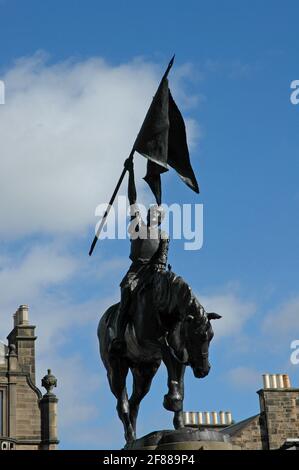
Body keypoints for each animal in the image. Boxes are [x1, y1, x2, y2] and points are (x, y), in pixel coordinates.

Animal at [98, 270, 220, 446]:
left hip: (144, 372)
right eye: (195, 337)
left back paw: (135, 437)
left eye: (211, 336)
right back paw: (130, 437)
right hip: (116, 370)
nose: (203, 369)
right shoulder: (159, 344)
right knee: (123, 404)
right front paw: (172, 400)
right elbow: (170, 366)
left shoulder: (180, 353)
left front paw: (180, 423)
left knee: (134, 404)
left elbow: (179, 383)